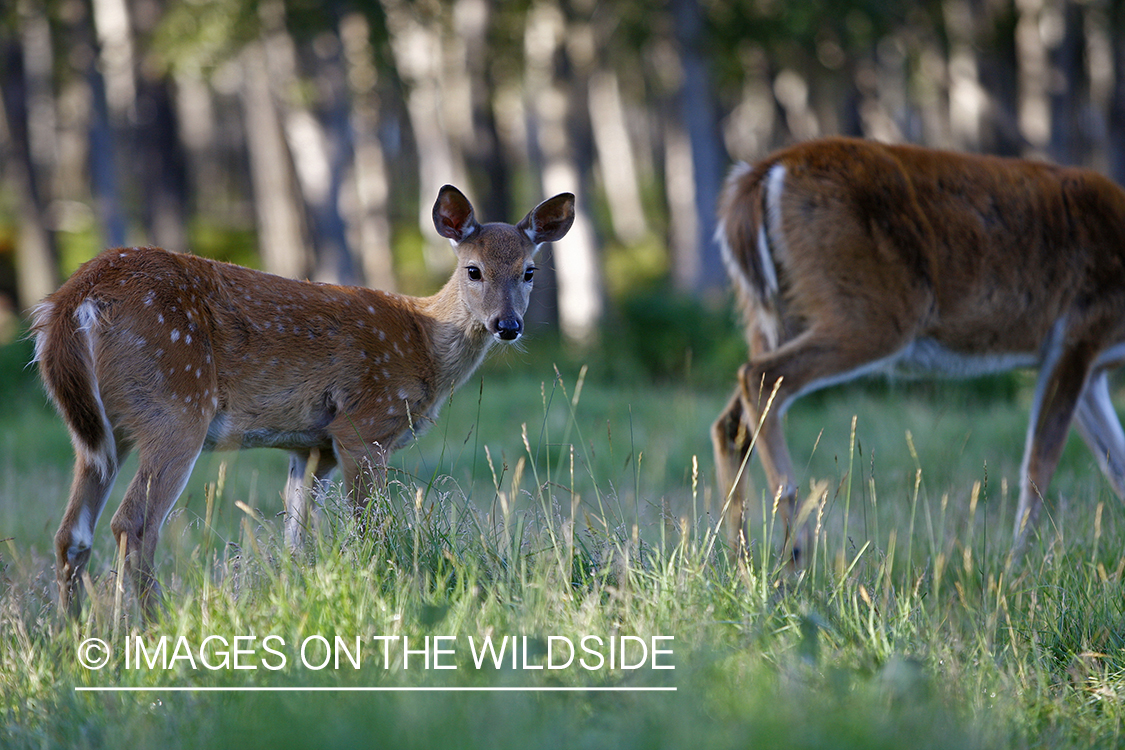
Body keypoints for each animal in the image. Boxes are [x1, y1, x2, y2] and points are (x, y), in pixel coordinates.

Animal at [30, 184, 576, 620]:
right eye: (474, 270)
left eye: (529, 271)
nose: (508, 325)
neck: (425, 343)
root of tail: (72, 299)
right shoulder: (362, 427)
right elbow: (369, 532)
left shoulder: (313, 446)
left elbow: (297, 540)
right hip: (177, 402)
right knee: (134, 523)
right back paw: (151, 627)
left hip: (104, 432)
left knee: (71, 534)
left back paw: (72, 639)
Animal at [715, 137, 1125, 566]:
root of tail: (763, 172)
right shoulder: (1078, 334)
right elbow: (1039, 465)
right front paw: (1016, 568)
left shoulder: (1088, 370)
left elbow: (1116, 466)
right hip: (876, 314)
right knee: (758, 377)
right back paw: (794, 552)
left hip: (776, 317)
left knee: (730, 423)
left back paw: (740, 559)